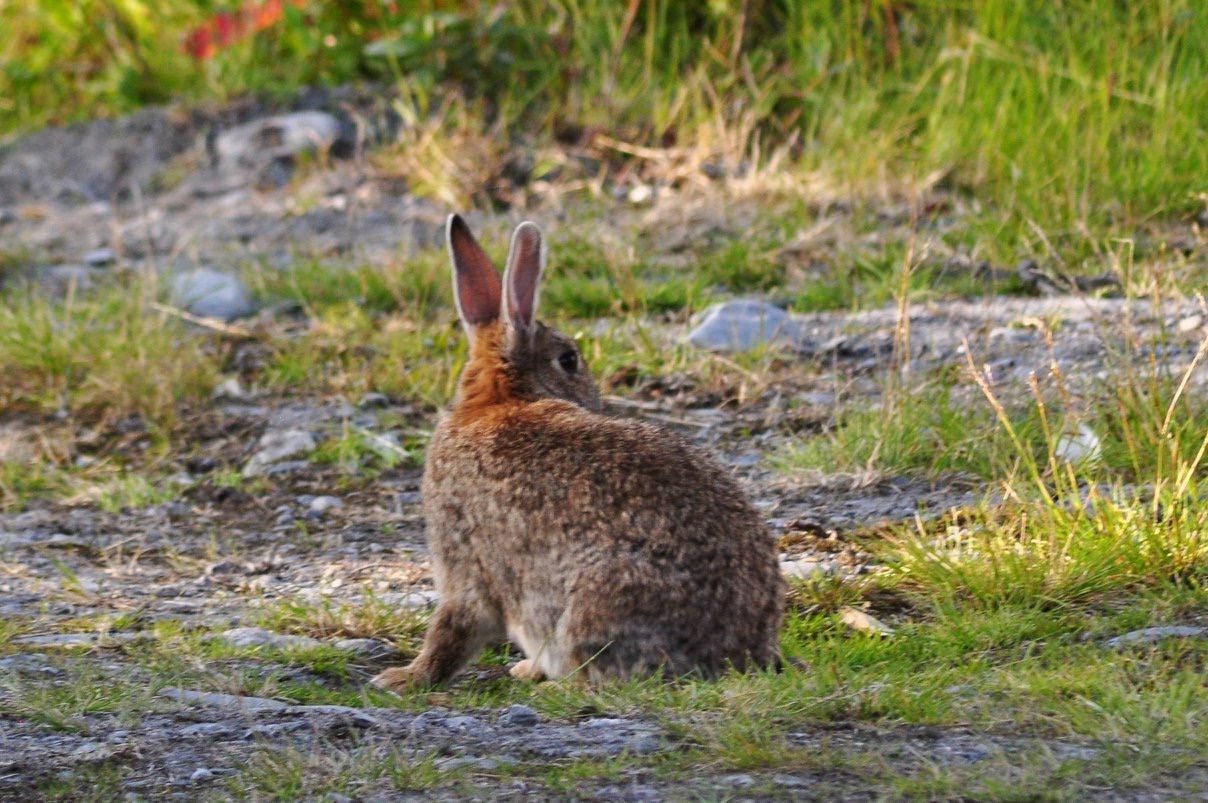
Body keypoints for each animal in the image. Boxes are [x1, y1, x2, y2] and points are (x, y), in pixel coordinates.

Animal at [371, 214, 785, 690]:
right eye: (569, 359)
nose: (595, 399)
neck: (501, 401)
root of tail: (740, 655)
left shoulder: (463, 559)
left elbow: (452, 630)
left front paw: (402, 679)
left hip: (594, 602)